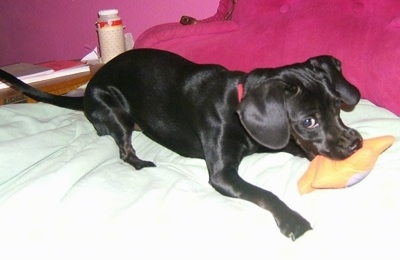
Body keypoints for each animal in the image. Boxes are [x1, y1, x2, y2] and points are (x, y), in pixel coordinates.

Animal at [0, 48, 362, 240]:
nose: (356, 144)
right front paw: (292, 220)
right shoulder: (223, 175)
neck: (238, 106)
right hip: (114, 111)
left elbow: (302, 150)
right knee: (124, 150)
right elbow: (265, 194)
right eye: (308, 121)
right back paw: (141, 162)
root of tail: (87, 90)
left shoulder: (275, 140)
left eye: (336, 107)